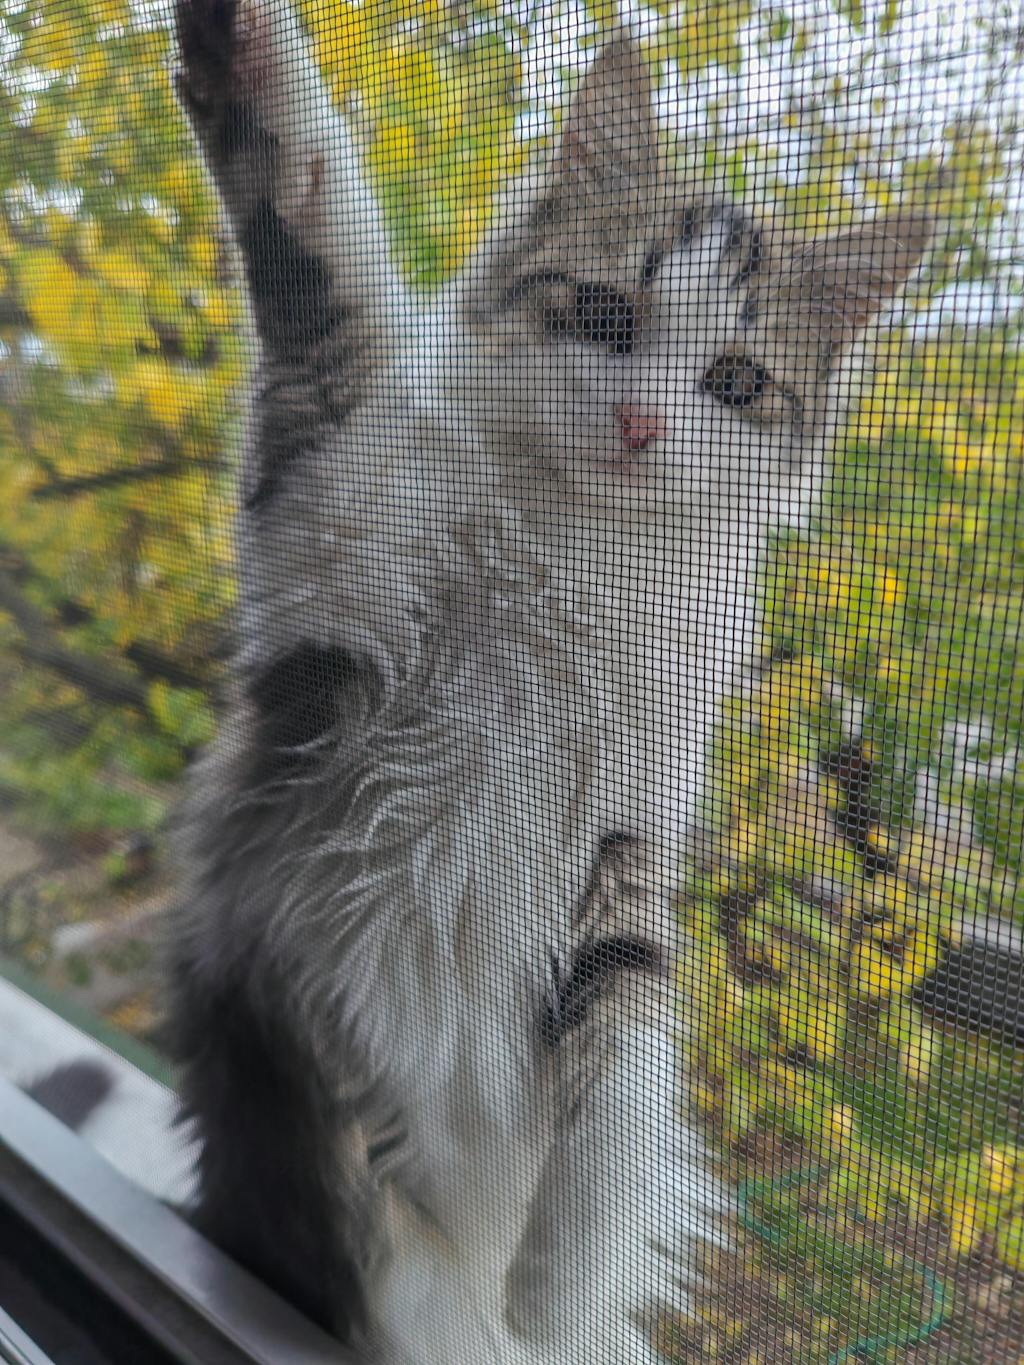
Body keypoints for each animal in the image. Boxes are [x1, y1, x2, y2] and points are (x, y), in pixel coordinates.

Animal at [167, 1, 931, 1360]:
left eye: (736, 380)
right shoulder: (330, 533)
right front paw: (234, 46)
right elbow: (303, 221)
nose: (639, 428)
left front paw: (546, 1281)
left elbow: (612, 1085)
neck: (571, 562)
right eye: (602, 311)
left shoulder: (627, 847)